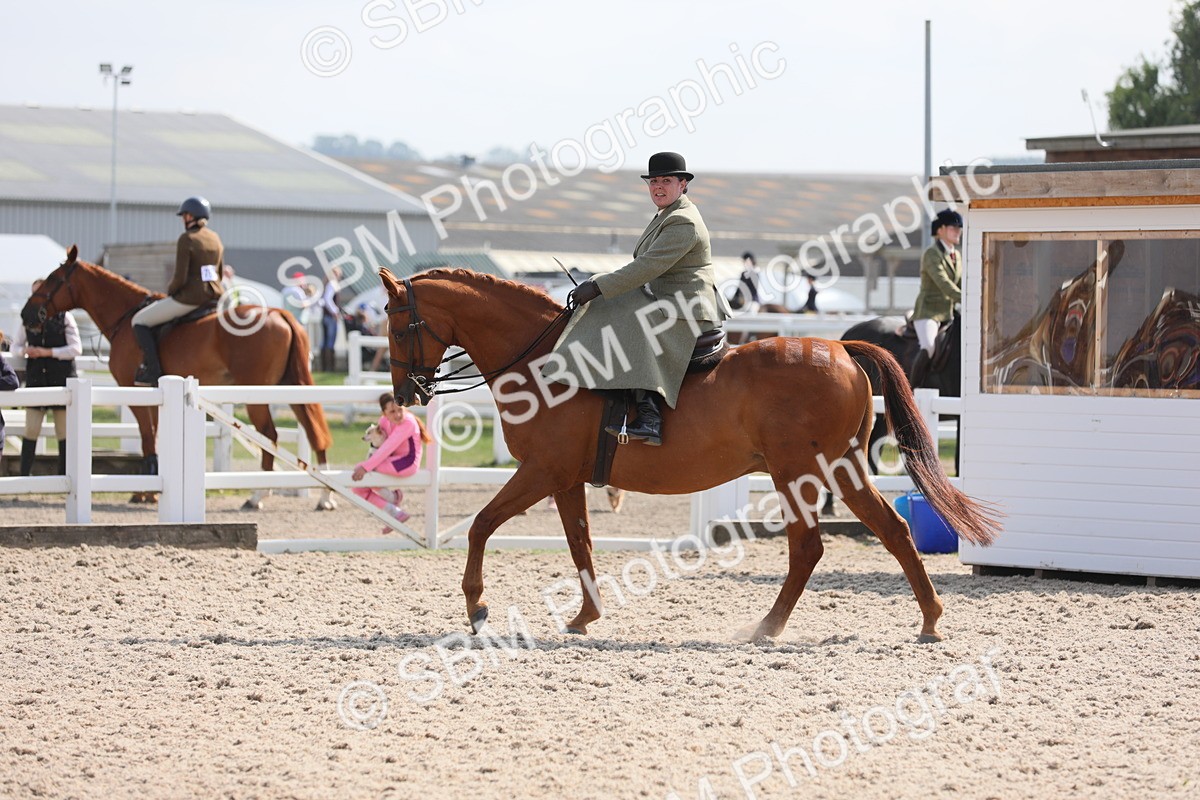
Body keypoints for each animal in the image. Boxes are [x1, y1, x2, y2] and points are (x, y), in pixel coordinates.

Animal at [20, 245, 336, 511]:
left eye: (52, 279)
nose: (26, 314)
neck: (125, 316)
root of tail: (280, 314)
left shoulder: (135, 393)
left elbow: (148, 438)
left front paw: (145, 493)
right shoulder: (152, 395)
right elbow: (156, 436)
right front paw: (152, 487)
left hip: (257, 393)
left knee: (269, 435)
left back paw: (257, 496)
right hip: (291, 387)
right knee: (313, 431)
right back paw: (325, 496)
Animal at [379, 267, 1000, 643]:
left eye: (398, 329)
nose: (408, 393)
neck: (544, 363)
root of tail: (840, 347)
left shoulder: (541, 471)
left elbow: (481, 524)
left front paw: (477, 608)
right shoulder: (565, 479)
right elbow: (580, 543)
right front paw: (585, 617)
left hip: (797, 472)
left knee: (809, 546)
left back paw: (768, 627)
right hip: (839, 468)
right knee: (892, 530)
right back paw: (929, 620)